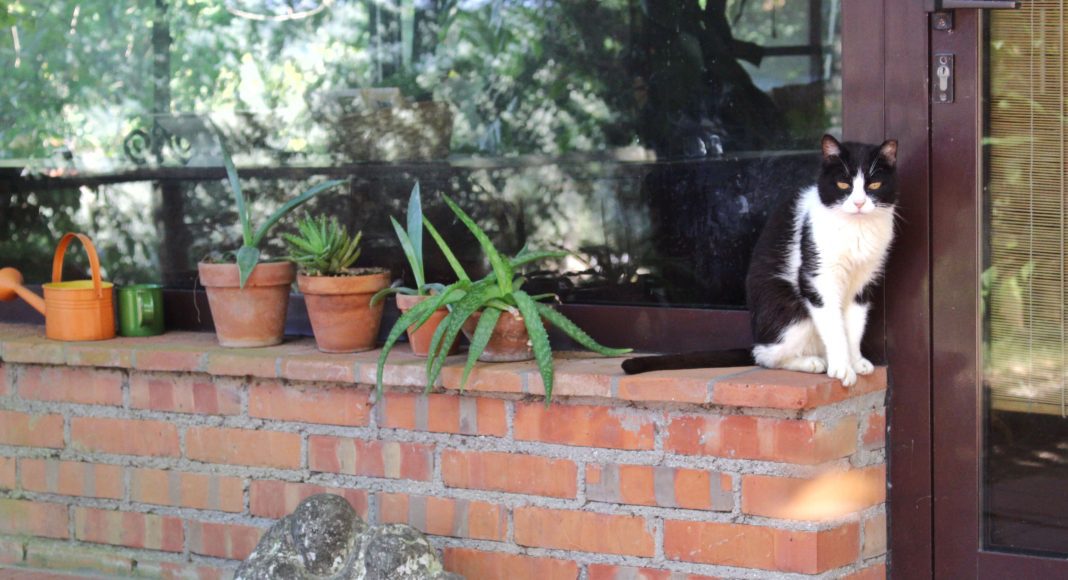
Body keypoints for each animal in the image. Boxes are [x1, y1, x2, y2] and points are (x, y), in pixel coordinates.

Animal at [623, 134, 897, 388]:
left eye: (874, 184)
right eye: (842, 184)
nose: (859, 203)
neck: (856, 229)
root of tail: (757, 337)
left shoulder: (864, 279)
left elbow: (855, 324)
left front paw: (855, 360)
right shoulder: (818, 276)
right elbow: (834, 324)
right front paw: (842, 367)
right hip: (790, 309)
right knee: (766, 356)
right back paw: (813, 362)